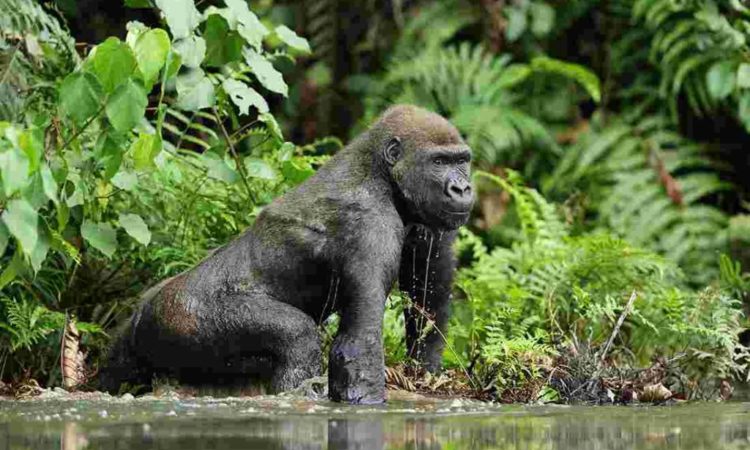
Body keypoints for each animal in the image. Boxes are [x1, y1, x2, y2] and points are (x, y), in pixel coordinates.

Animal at [100, 105, 476, 404]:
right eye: (439, 161)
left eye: (462, 161)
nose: (461, 188)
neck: (380, 170)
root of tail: (140, 313)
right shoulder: (371, 223)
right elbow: (357, 346)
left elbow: (428, 298)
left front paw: (425, 372)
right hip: (179, 315)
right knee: (297, 337)